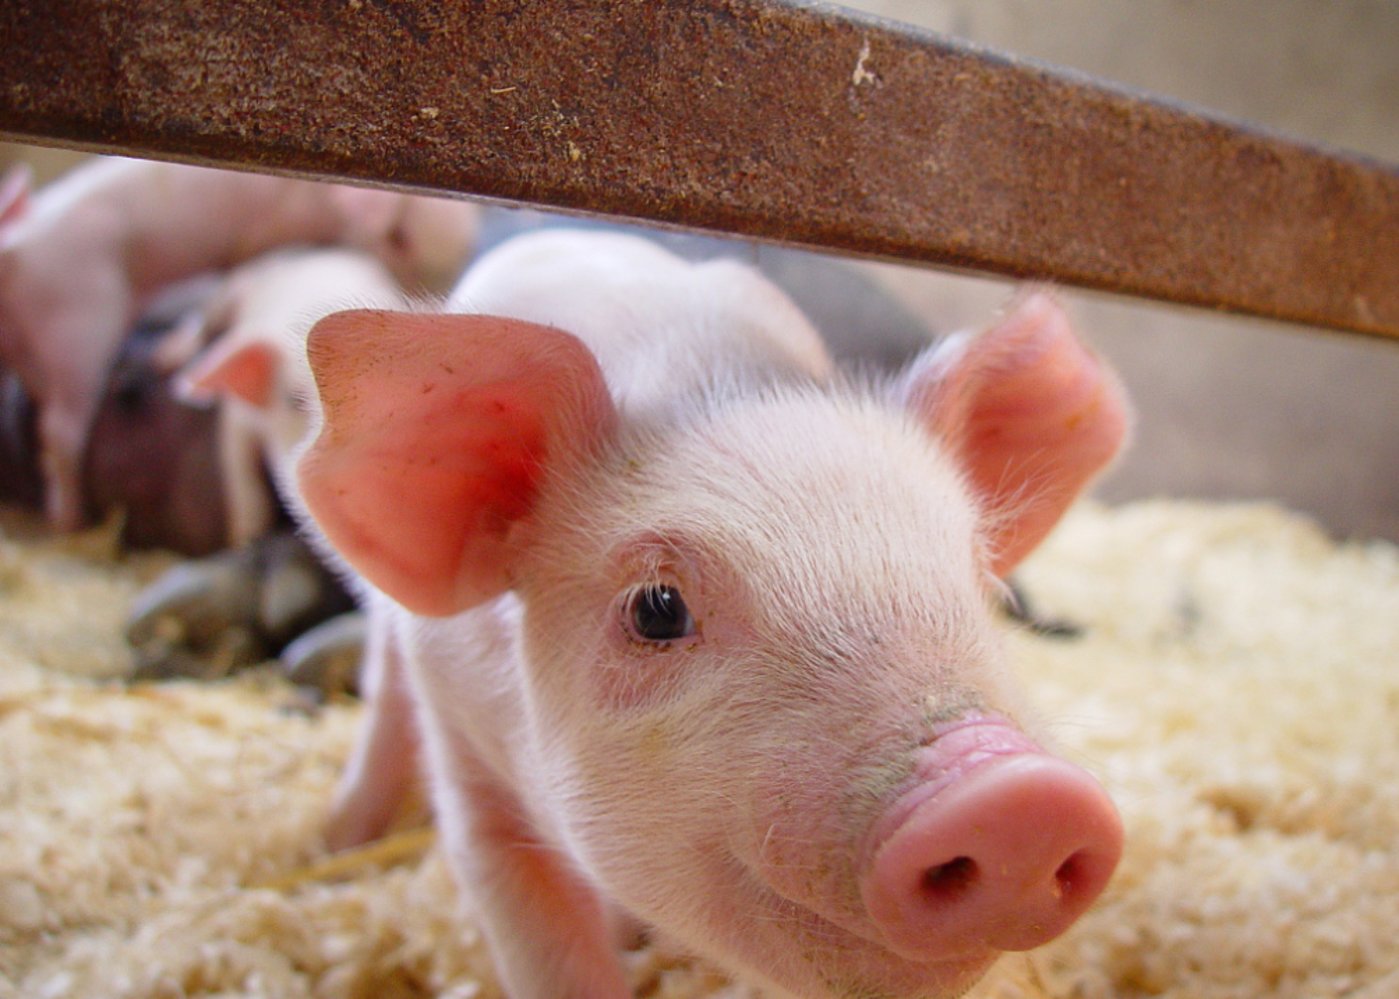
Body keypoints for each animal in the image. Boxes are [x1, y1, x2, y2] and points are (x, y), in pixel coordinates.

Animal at [0, 155, 478, 533]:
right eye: (401, 238)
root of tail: (16, 250)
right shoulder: (266, 235)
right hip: (77, 332)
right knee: (61, 429)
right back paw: (70, 519)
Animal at [294, 229, 1130, 999]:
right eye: (656, 608)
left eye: (983, 582)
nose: (1018, 795)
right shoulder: (463, 742)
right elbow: (535, 929)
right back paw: (337, 840)